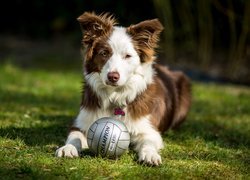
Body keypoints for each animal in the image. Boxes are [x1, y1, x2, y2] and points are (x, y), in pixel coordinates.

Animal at [55, 11, 191, 166]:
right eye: (104, 53)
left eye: (127, 56)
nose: (113, 76)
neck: (115, 95)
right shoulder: (82, 123)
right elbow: (75, 136)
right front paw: (67, 148)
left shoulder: (149, 130)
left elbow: (148, 142)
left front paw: (150, 155)